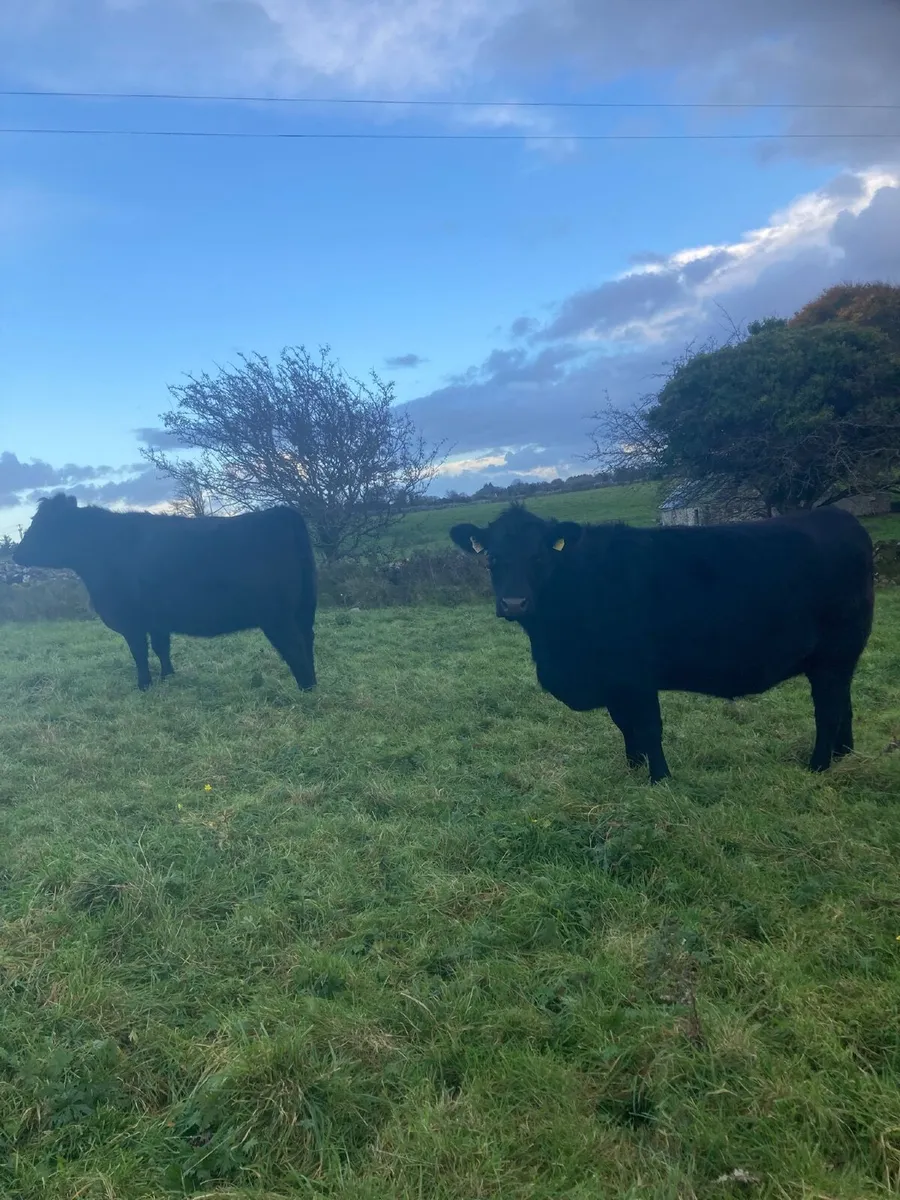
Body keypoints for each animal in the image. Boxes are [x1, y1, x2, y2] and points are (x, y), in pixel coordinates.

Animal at [13, 494, 318, 692]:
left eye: (42, 525)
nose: (17, 553)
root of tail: (280, 513)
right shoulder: (157, 620)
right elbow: (162, 648)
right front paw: (168, 677)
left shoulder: (132, 622)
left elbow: (139, 652)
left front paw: (144, 686)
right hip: (303, 609)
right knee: (308, 640)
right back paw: (313, 683)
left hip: (277, 616)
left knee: (293, 645)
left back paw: (305, 690)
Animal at [449, 503, 874, 783]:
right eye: (491, 558)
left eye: (539, 556)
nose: (513, 603)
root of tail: (837, 516)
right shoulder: (615, 682)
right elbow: (626, 727)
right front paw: (633, 771)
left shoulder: (636, 675)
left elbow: (649, 728)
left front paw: (660, 780)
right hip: (840, 659)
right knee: (845, 705)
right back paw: (845, 755)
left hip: (833, 655)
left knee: (828, 711)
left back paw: (818, 766)